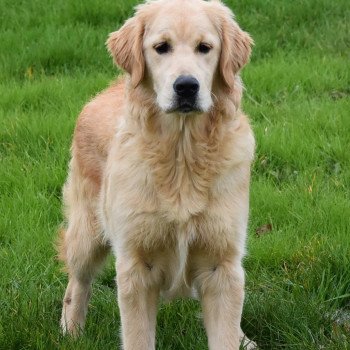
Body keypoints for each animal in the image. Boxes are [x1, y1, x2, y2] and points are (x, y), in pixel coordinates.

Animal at [58, 0, 256, 350]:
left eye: (205, 47)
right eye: (161, 47)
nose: (187, 86)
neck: (181, 153)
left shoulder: (223, 264)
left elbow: (225, 334)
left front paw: (237, 338)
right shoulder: (136, 266)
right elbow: (137, 336)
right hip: (87, 232)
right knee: (76, 282)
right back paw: (72, 331)